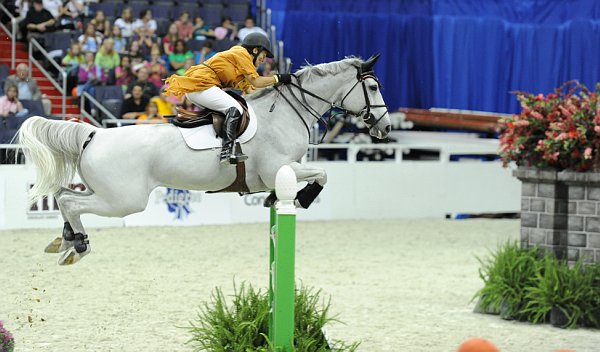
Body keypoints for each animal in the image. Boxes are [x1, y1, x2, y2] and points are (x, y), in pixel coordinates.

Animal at [18, 54, 392, 264]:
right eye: (373, 88)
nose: (386, 127)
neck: (286, 111)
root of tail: (94, 134)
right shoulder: (279, 168)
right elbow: (323, 174)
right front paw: (302, 198)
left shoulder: (280, 171)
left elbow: (313, 177)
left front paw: (276, 199)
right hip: (124, 200)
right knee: (71, 201)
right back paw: (78, 245)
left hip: (110, 194)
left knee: (65, 196)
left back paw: (65, 241)